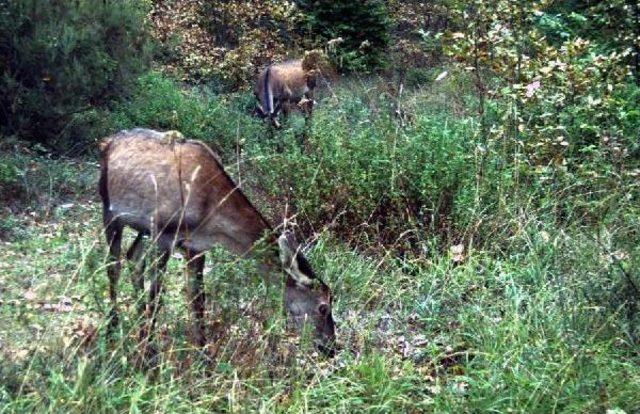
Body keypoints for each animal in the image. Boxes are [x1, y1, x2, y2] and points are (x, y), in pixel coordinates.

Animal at [97, 129, 338, 356]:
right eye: (323, 307)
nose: (331, 348)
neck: (210, 216)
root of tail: (107, 142)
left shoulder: (194, 246)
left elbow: (198, 300)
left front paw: (203, 355)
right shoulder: (164, 233)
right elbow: (157, 297)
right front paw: (148, 353)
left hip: (142, 227)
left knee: (134, 256)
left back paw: (137, 324)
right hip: (111, 211)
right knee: (113, 266)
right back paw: (112, 330)